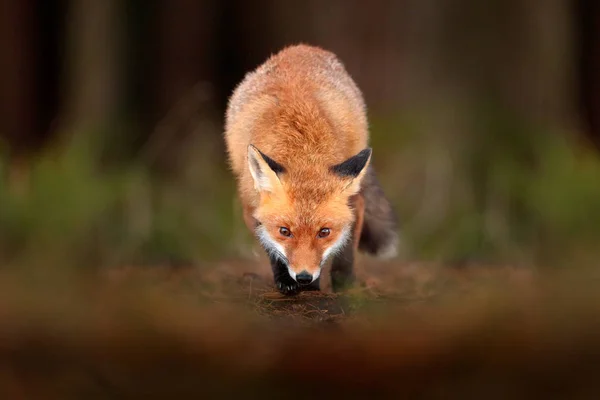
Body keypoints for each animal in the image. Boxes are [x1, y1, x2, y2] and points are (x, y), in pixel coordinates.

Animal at [223, 44, 396, 294]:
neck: (301, 148)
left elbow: (345, 250)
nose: (304, 277)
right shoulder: (252, 207)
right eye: (284, 231)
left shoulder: (353, 203)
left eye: (324, 232)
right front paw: (286, 280)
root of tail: (300, 47)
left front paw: (342, 284)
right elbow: (271, 248)